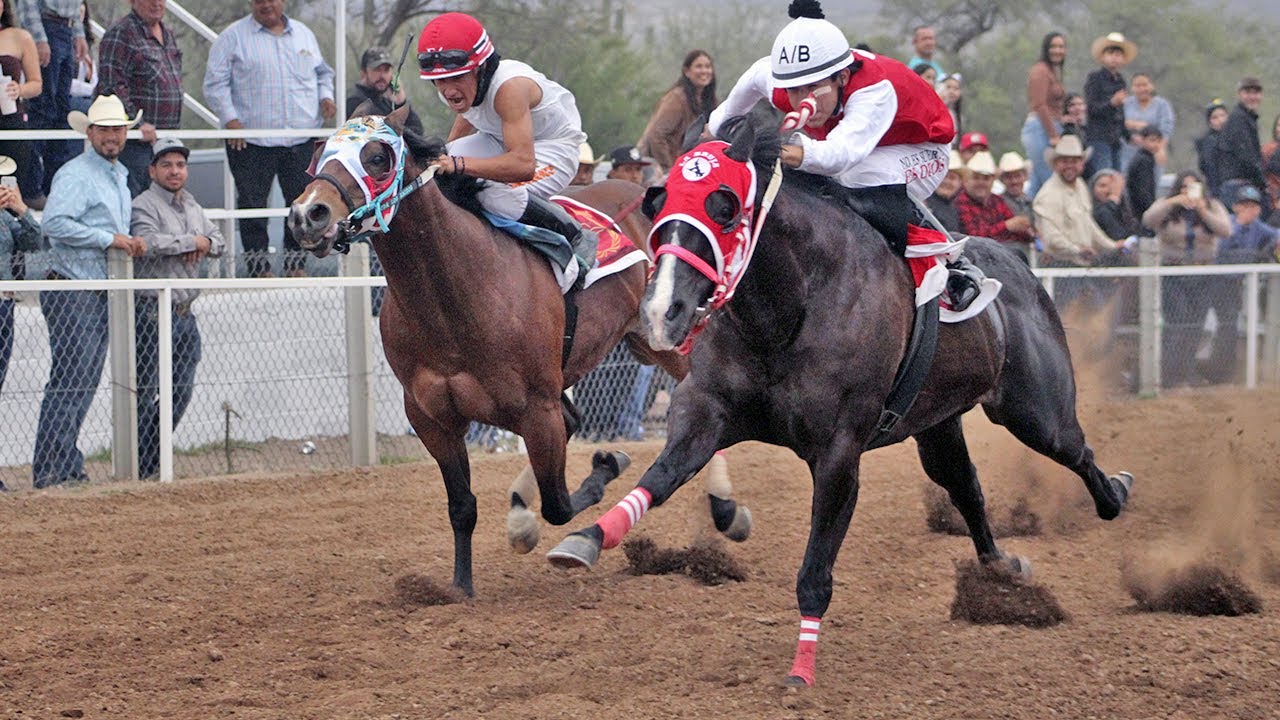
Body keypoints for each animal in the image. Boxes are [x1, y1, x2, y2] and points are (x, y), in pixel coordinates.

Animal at [285, 106, 751, 597]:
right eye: (319, 153)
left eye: (377, 157)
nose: (307, 214)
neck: (456, 291)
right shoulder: (432, 417)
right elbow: (463, 505)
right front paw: (461, 585)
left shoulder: (536, 407)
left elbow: (559, 504)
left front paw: (607, 463)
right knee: (576, 422)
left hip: (669, 342)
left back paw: (725, 509)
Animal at [547, 115, 1134, 686]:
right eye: (658, 199)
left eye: (725, 207)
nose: (662, 309)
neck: (789, 310)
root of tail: (1017, 264)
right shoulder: (707, 413)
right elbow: (659, 478)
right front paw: (587, 539)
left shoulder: (838, 450)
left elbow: (815, 568)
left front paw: (801, 670)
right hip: (937, 423)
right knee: (965, 486)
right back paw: (1001, 567)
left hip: (1034, 410)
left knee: (1076, 451)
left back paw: (1115, 494)